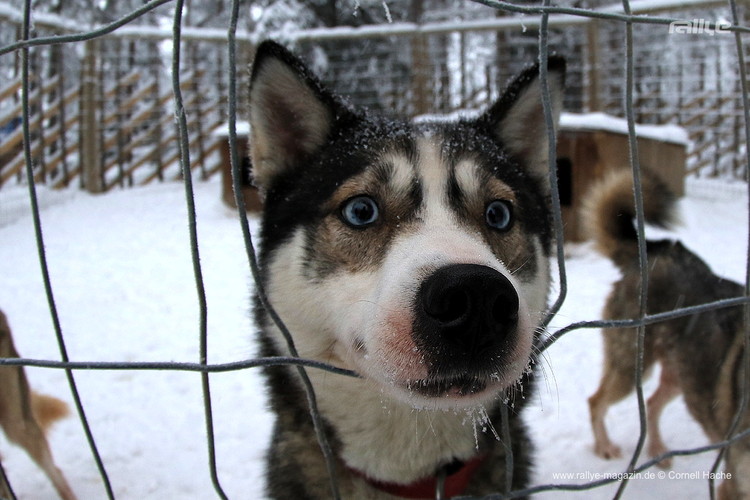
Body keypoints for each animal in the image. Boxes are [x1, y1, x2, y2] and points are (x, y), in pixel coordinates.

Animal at [588, 169, 750, 500]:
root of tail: (654, 251)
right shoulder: (732, 484)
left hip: (685, 377)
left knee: (651, 403)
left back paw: (657, 450)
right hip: (632, 370)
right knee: (595, 401)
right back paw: (605, 447)